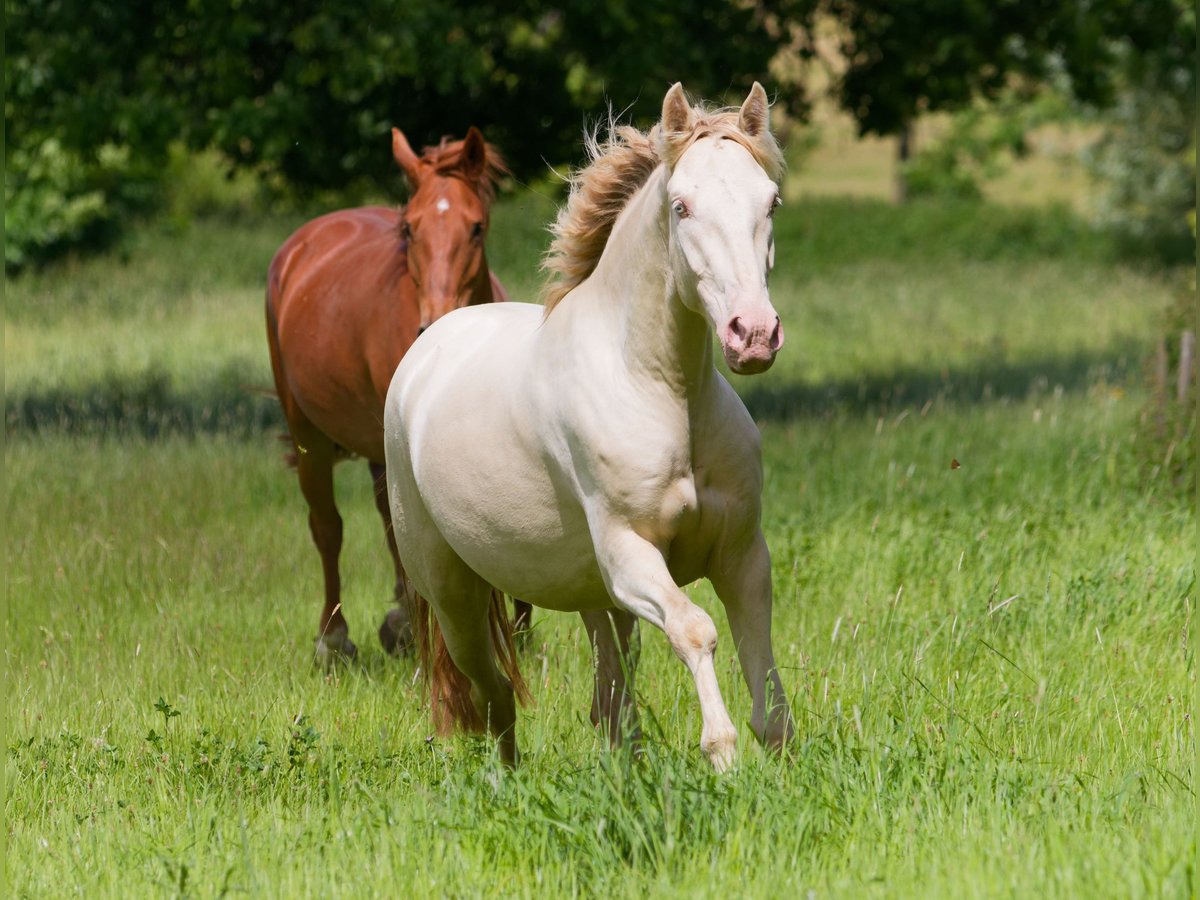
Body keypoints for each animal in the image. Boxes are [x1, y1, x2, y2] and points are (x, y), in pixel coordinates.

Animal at [267, 125, 530, 662]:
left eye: (476, 227)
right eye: (409, 229)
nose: (433, 323)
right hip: (310, 438)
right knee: (328, 527)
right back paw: (334, 637)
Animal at [386, 84, 796, 772]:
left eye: (770, 202)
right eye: (682, 206)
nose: (754, 335)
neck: (661, 392)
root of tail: (422, 354)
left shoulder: (742, 554)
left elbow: (758, 660)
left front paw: (775, 757)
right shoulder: (630, 556)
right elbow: (695, 630)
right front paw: (722, 756)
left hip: (593, 596)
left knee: (611, 695)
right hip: (453, 592)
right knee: (492, 689)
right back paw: (505, 780)